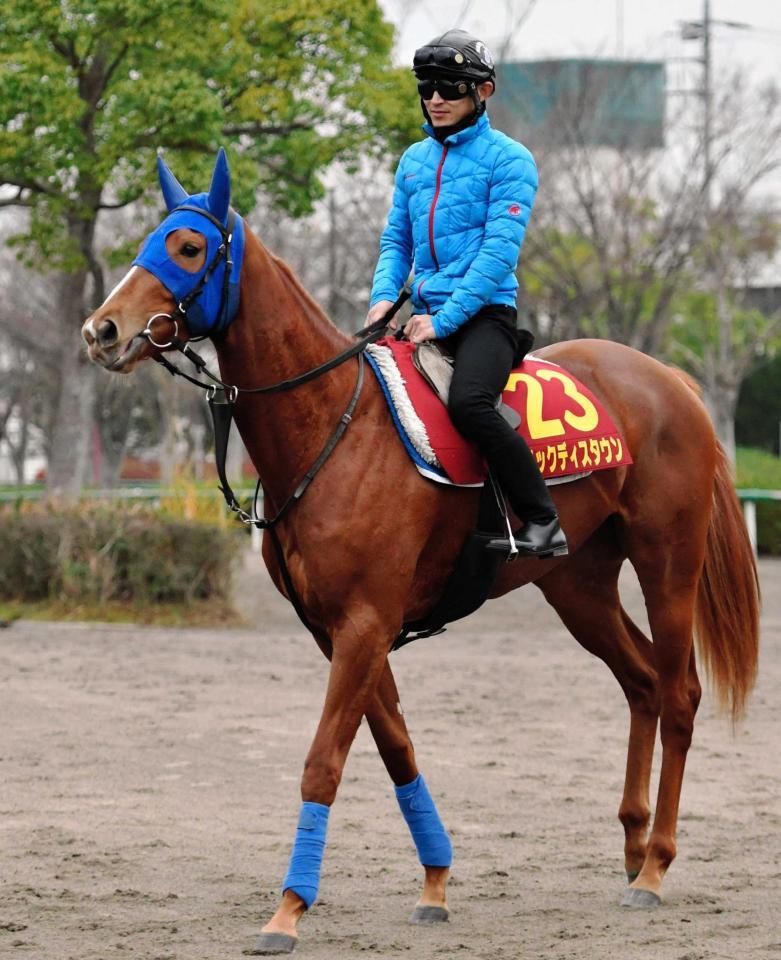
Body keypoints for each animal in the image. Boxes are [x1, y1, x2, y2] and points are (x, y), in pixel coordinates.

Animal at [80, 154, 756, 956]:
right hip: (578, 586)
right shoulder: (338, 630)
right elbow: (396, 747)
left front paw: (288, 909)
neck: (334, 426)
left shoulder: (366, 625)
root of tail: (669, 379)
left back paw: (654, 867)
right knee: (644, 684)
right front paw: (434, 883)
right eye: (147, 242)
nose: (101, 330)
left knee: (679, 694)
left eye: (187, 248)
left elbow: (323, 763)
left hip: (667, 564)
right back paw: (631, 846)